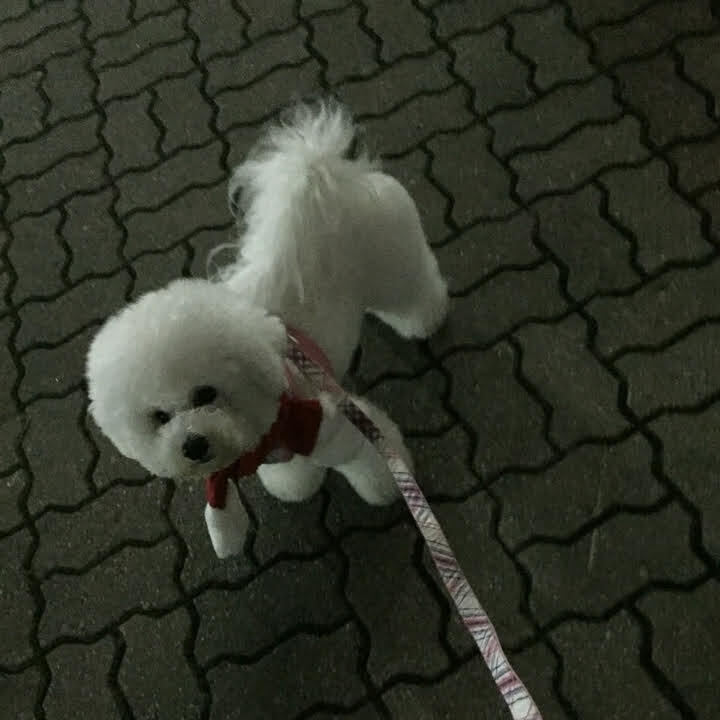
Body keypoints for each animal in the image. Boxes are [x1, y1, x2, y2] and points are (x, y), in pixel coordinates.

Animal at [87, 101, 448, 556]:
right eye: (159, 417)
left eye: (205, 393)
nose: (193, 445)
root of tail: (326, 173)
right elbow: (293, 475)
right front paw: (294, 484)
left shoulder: (333, 421)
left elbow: (372, 456)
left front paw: (388, 488)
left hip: (394, 262)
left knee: (417, 290)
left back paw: (424, 319)